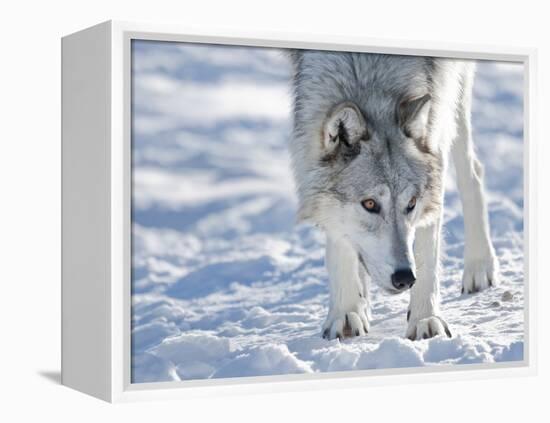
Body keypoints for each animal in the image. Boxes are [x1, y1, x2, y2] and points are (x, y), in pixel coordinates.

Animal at [292, 50, 502, 342]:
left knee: (473, 173)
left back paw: (479, 266)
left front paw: (425, 319)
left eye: (411, 204)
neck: (369, 72)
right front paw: (346, 312)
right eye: (370, 204)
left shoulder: (438, 110)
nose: (404, 278)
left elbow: (427, 248)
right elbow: (338, 237)